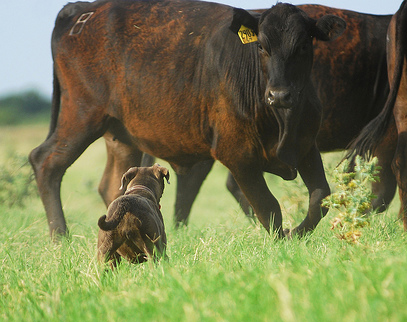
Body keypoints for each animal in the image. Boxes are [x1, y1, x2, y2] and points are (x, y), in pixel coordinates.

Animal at [30, 0, 346, 239]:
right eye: (261, 47)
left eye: (303, 45)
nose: (279, 94)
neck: (283, 121)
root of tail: (83, 9)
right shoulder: (237, 156)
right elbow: (269, 208)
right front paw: (283, 240)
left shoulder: (306, 146)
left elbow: (321, 197)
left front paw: (297, 233)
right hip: (81, 116)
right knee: (46, 162)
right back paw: (60, 238)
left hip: (119, 135)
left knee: (112, 184)